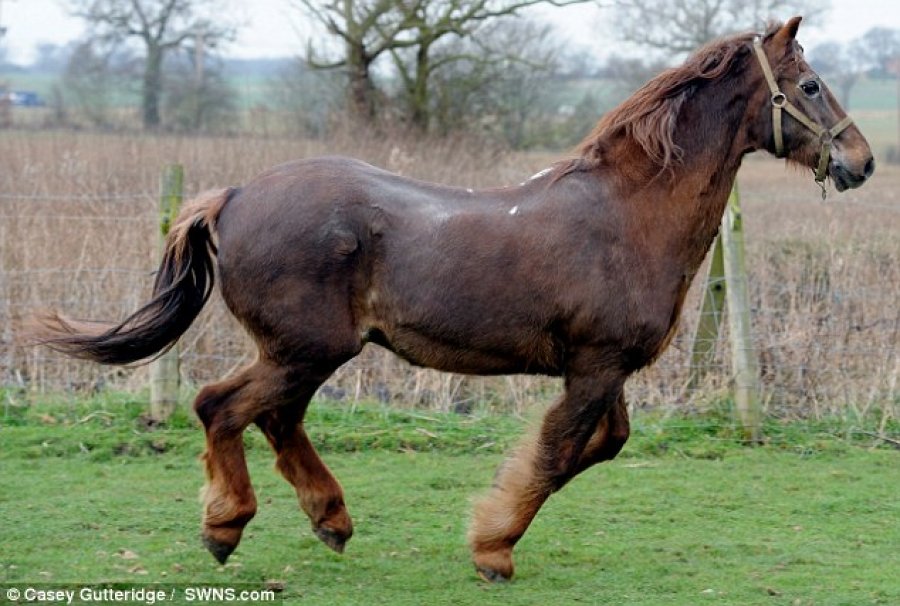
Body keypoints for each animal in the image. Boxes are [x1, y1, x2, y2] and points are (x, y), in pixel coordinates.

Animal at [33, 17, 872, 584]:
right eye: (809, 85)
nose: (860, 161)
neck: (627, 216)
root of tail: (232, 195)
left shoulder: (603, 372)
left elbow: (598, 446)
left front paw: (490, 530)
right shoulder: (596, 368)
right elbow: (559, 453)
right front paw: (492, 548)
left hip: (302, 354)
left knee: (271, 417)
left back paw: (329, 521)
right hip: (306, 349)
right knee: (222, 406)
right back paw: (226, 528)